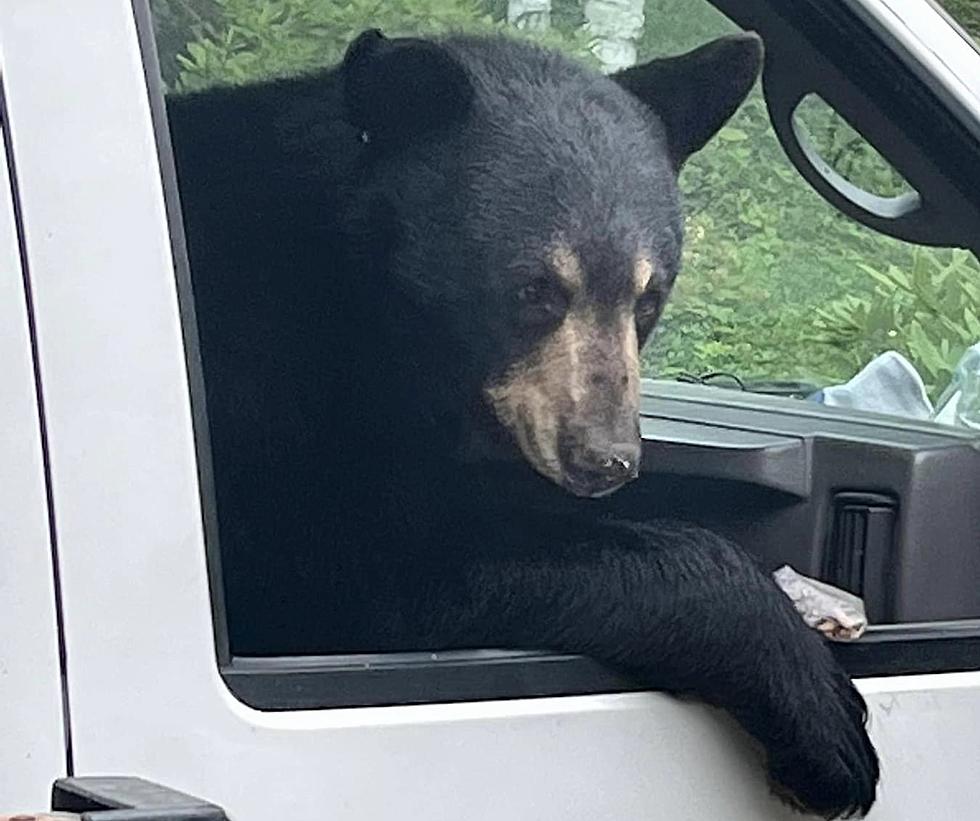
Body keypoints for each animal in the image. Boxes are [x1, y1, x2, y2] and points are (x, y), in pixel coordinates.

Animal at [167, 28, 880, 816]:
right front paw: (827, 717)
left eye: (649, 296)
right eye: (534, 289)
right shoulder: (259, 383)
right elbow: (353, 559)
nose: (606, 459)